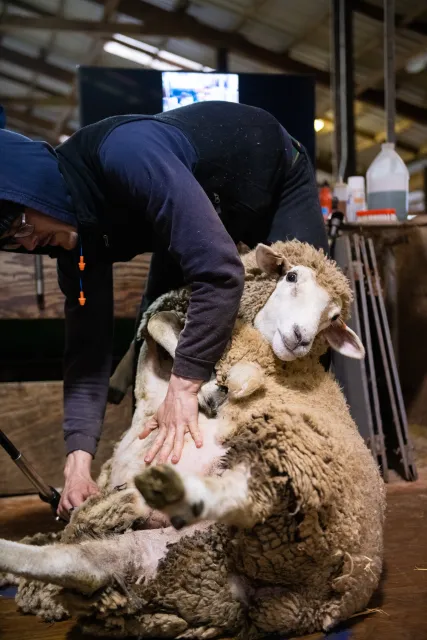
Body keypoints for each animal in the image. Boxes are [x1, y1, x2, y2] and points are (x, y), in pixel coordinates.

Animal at [0, 241, 386, 639]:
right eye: (291, 276)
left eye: (334, 317)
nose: (301, 337)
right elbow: (159, 323)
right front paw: (206, 385)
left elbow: (176, 336)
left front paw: (213, 387)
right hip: (162, 554)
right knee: (79, 566)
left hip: (291, 467)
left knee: (248, 496)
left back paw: (173, 487)